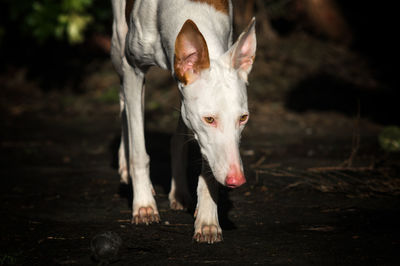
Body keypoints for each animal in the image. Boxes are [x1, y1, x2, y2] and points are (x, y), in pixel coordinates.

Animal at [112, 0, 256, 243]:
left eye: (243, 118)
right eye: (209, 119)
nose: (237, 180)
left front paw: (207, 219)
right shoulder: (134, 69)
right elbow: (139, 151)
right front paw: (144, 205)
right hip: (118, 47)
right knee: (124, 100)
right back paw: (124, 165)